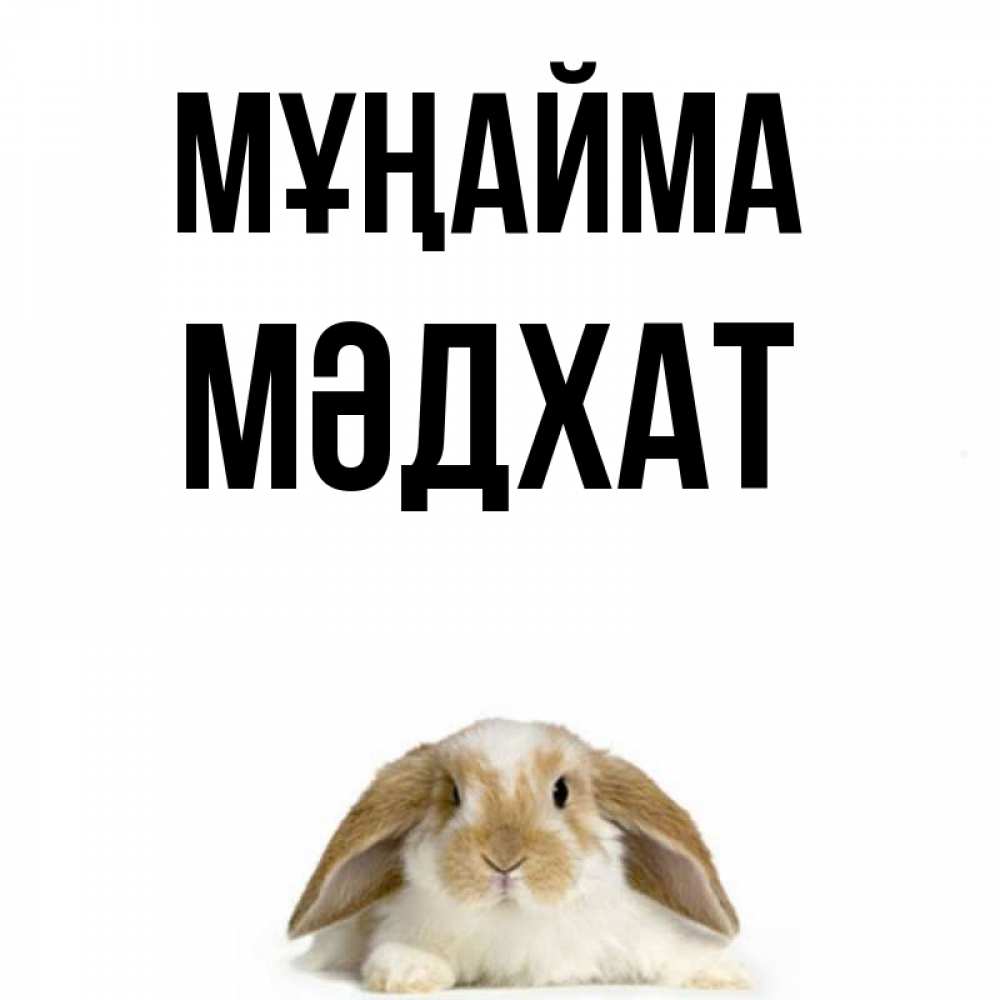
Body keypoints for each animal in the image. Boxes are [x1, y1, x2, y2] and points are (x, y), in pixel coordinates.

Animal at [288, 719, 750, 991]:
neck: (514, 919)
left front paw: (725, 973)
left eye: (561, 791)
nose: (504, 859)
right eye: (453, 795)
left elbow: (674, 950)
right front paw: (410, 973)